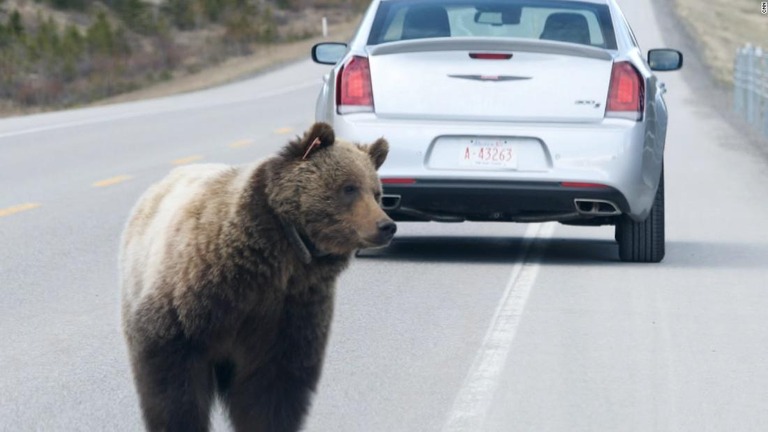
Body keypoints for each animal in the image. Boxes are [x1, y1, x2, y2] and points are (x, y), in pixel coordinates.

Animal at [121, 122, 396, 432]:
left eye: (376, 192)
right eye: (349, 188)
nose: (386, 225)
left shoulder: (290, 311)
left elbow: (271, 389)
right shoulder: (190, 297)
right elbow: (173, 381)